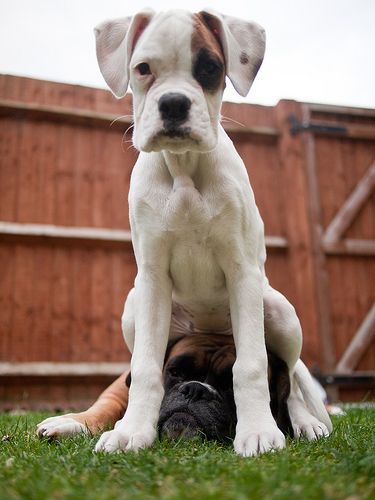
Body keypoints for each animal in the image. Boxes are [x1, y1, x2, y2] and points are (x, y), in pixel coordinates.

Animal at [36, 334, 294, 440]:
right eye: (176, 372)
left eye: (233, 385)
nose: (195, 389)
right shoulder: (117, 395)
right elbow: (102, 410)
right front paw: (69, 423)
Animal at [92, 7, 334, 456]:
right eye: (143, 69)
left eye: (209, 68)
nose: (173, 103)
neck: (185, 169)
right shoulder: (152, 278)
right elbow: (146, 367)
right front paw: (132, 431)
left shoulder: (242, 272)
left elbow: (253, 365)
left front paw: (258, 431)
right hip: (134, 307)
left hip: (279, 311)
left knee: (290, 377)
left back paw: (307, 423)